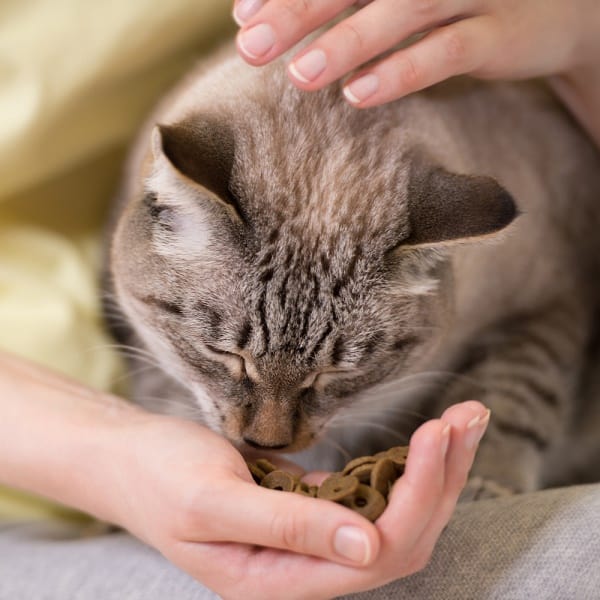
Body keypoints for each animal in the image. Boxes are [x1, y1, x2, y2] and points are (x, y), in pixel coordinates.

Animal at [103, 44, 600, 500]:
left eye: (336, 374)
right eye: (225, 355)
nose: (266, 444)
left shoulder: (560, 295)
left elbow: (517, 392)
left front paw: (484, 484)